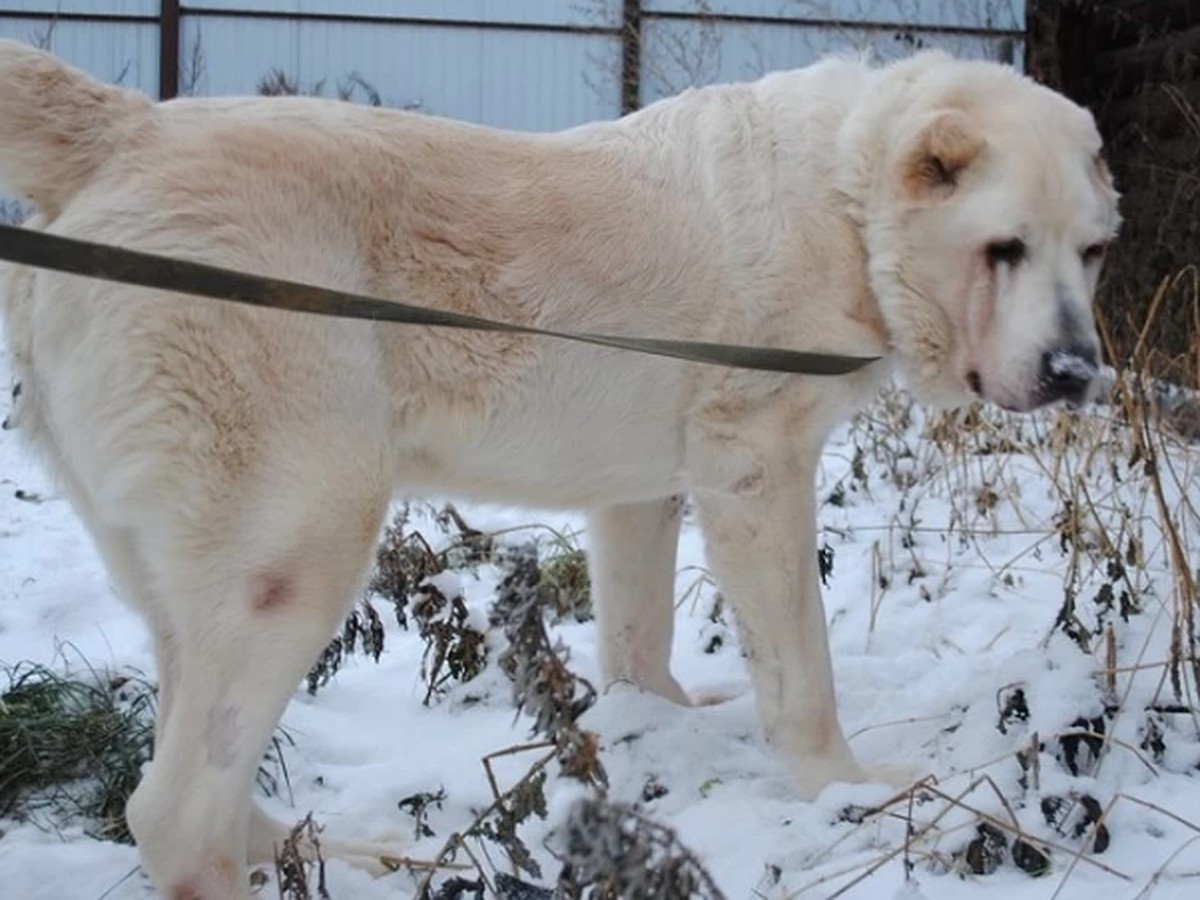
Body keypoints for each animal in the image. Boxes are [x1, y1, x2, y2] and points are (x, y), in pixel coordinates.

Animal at [2, 38, 1113, 897]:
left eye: (1094, 253)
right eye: (1004, 248)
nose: (1076, 373)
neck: (845, 201)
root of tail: (130, 129)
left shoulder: (640, 492)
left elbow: (637, 639)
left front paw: (655, 724)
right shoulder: (756, 468)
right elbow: (802, 669)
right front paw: (844, 786)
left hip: (194, 572)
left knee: (197, 767)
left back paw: (317, 852)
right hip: (295, 547)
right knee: (174, 813)